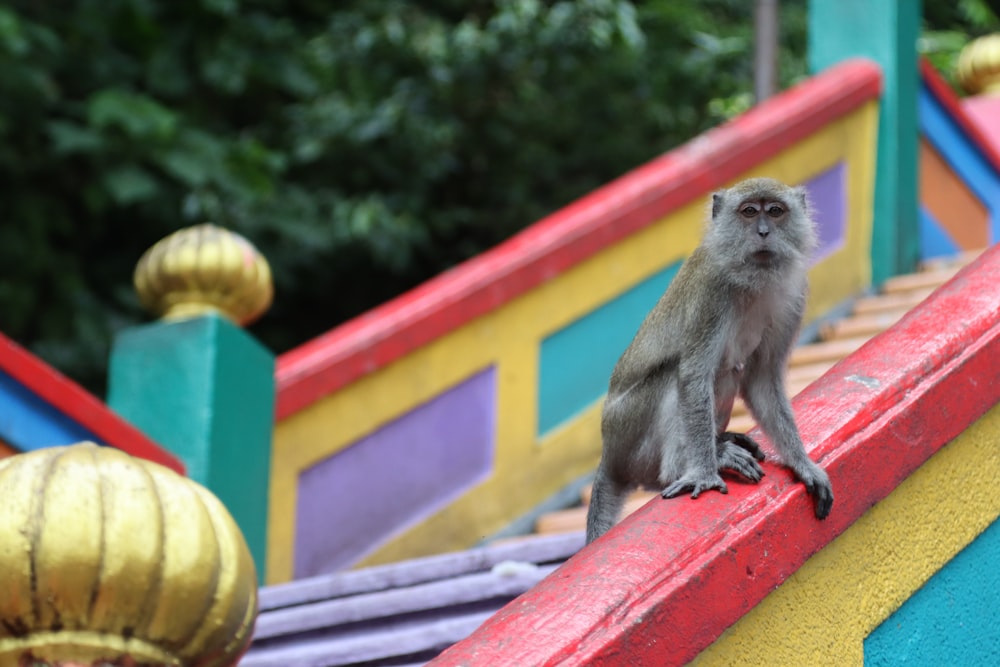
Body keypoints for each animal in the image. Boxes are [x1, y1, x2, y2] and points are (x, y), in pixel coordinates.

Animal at [584, 176, 836, 544]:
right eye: (749, 212)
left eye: (775, 211)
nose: (763, 231)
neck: (751, 281)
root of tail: (608, 456)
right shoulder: (711, 293)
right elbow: (693, 374)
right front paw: (704, 472)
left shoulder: (795, 295)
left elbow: (762, 379)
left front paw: (802, 463)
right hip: (627, 432)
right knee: (674, 376)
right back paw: (691, 463)